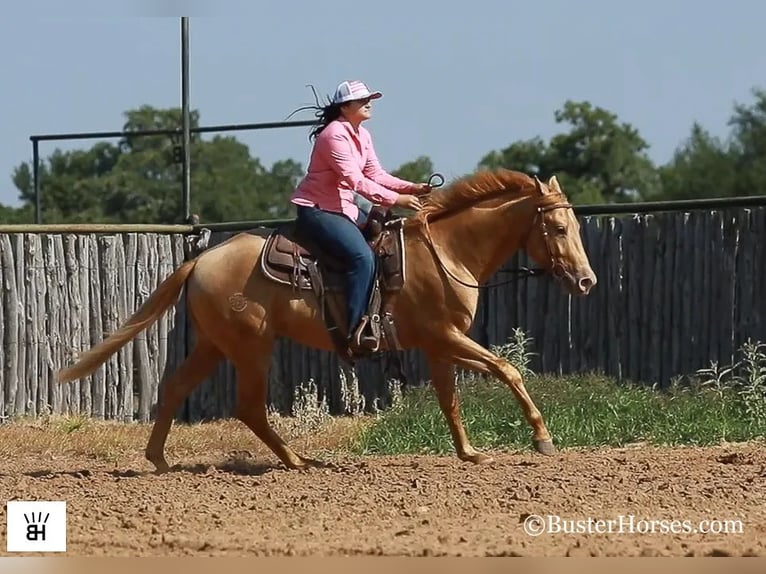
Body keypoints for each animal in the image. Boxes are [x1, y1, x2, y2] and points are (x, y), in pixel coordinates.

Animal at [57, 166, 596, 472]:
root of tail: (202, 259)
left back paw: (161, 461)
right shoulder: (446, 336)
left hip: (214, 345)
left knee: (175, 389)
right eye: (557, 226)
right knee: (249, 407)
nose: (587, 281)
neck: (446, 251)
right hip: (252, 347)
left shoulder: (440, 344)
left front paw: (470, 454)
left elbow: (451, 400)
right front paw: (542, 439)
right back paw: (297, 460)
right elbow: (508, 369)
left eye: (574, 224)